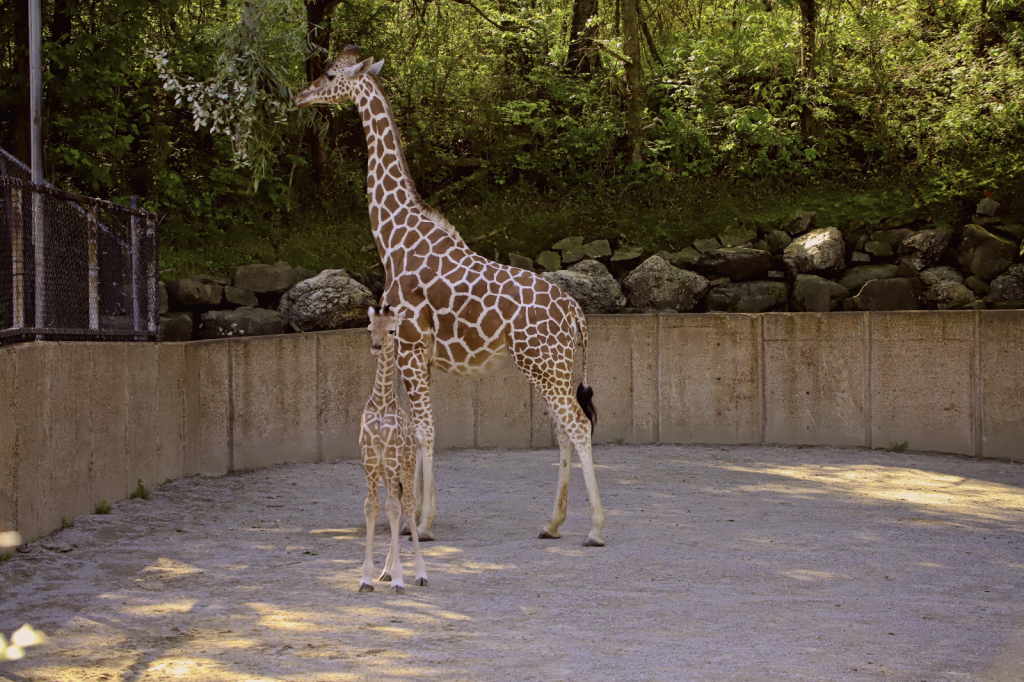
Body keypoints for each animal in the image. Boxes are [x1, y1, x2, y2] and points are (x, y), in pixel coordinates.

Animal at [292, 45, 602, 544]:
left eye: (331, 75)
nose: (301, 96)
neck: (392, 237)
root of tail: (576, 312)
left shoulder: (409, 346)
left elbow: (424, 431)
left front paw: (423, 521)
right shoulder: (418, 356)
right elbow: (416, 430)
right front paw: (412, 516)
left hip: (542, 364)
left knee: (576, 425)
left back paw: (594, 528)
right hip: (553, 367)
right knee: (564, 429)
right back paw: (551, 523)